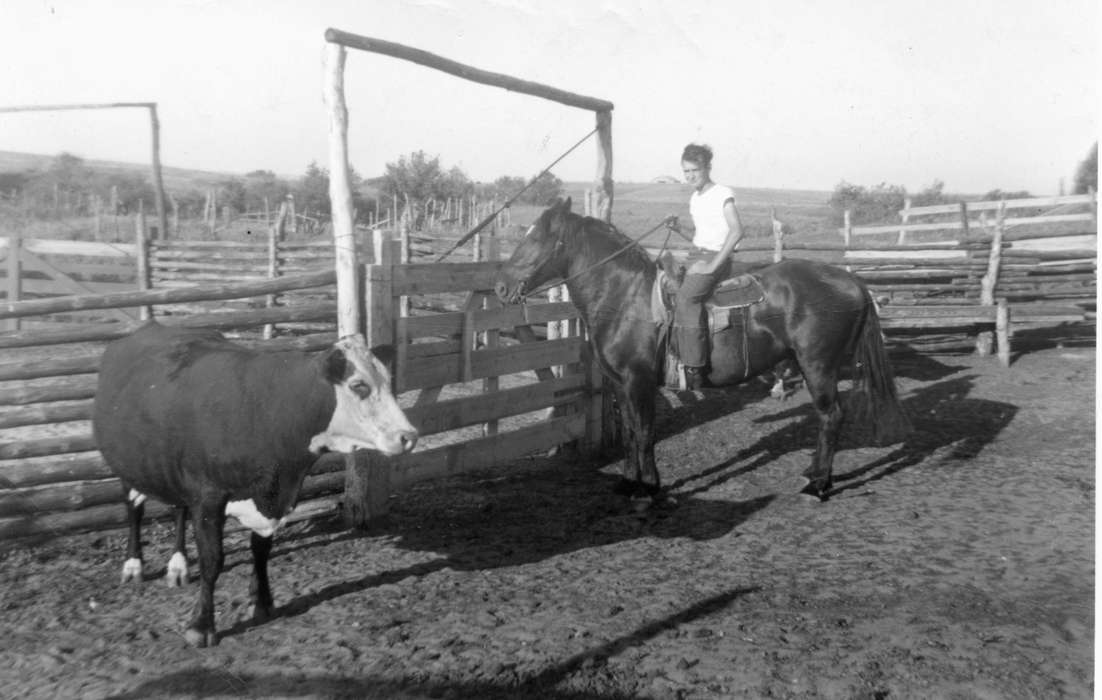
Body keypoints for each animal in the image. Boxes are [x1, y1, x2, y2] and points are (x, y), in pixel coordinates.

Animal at [90, 321, 414, 648]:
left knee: (178, 509)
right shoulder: (208, 497)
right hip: (128, 466)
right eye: (359, 385)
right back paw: (133, 565)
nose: (408, 436)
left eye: (388, 381)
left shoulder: (270, 498)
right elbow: (212, 560)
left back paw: (178, 565)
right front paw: (201, 626)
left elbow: (261, 550)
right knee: (134, 509)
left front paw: (262, 602)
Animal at [495, 198, 908, 498]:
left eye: (536, 239)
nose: (500, 287)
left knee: (831, 416)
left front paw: (650, 489)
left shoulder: (638, 381)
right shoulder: (620, 384)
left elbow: (645, 431)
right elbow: (629, 431)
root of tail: (851, 282)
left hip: (818, 366)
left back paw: (820, 484)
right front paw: (628, 482)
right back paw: (814, 474)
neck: (625, 298)